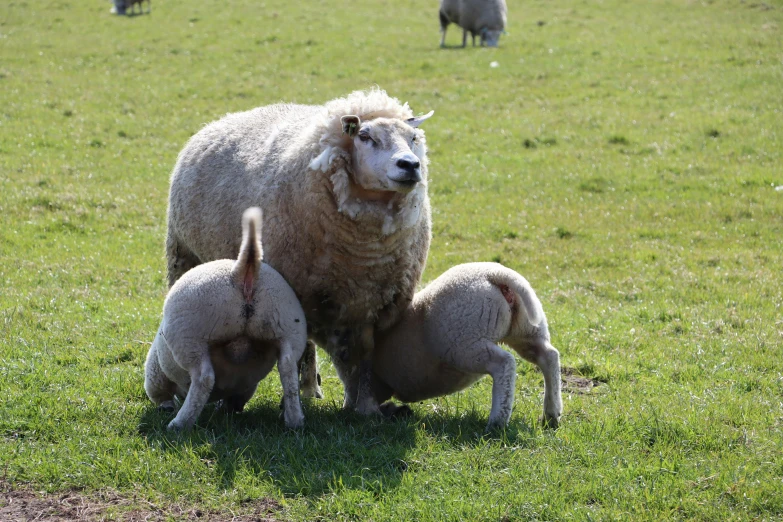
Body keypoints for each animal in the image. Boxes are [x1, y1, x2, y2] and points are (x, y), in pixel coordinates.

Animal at [144, 207, 306, 430]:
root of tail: (242, 271)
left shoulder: (156, 374)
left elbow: (160, 393)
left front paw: (166, 407)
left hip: (191, 335)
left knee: (204, 378)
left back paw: (180, 424)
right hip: (288, 326)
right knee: (288, 369)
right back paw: (294, 420)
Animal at [166, 88, 434, 414]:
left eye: (413, 138)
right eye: (365, 136)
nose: (410, 165)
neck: (365, 251)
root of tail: (222, 120)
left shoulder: (370, 303)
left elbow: (362, 359)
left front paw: (365, 407)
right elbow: (296, 355)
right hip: (185, 256)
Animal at [368, 262, 564, 428]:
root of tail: (496, 274)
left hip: (465, 343)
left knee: (504, 363)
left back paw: (497, 423)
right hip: (526, 329)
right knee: (548, 356)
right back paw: (551, 414)